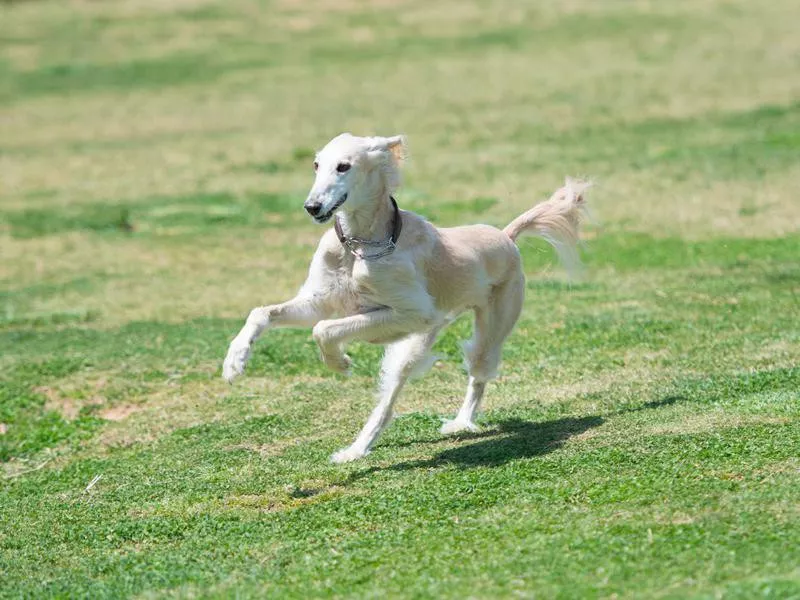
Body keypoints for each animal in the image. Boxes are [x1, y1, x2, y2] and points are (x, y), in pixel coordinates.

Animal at [222, 134, 592, 464]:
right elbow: (263, 313)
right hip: (410, 349)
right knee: (387, 405)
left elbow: (324, 329)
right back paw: (356, 450)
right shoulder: (320, 301)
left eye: (344, 166)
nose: (312, 207)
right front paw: (234, 362)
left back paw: (460, 422)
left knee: (477, 376)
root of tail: (505, 236)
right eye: (316, 164)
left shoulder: (414, 314)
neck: (359, 246)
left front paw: (339, 362)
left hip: (487, 327)